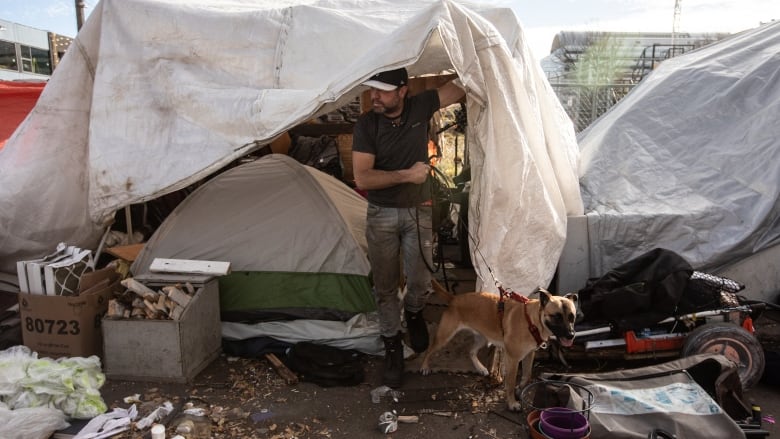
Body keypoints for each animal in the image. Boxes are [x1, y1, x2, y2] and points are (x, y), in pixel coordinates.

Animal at [420, 280, 580, 410]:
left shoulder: (529, 354)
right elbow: (510, 383)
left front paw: (519, 389)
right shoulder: (513, 359)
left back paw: (481, 368)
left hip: (483, 338)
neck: (532, 320)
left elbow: (527, 375)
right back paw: (425, 367)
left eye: (572, 317)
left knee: (470, 351)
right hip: (444, 336)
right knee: (430, 349)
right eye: (556, 317)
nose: (571, 335)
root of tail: (454, 298)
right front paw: (512, 403)